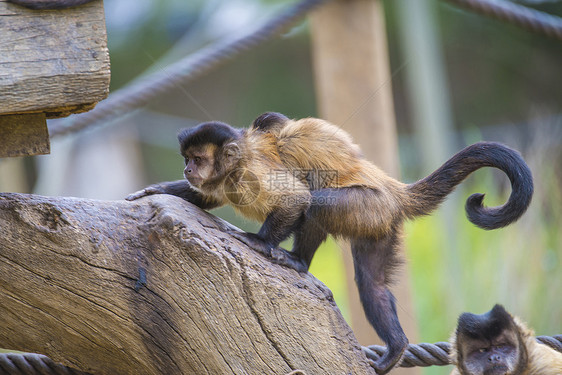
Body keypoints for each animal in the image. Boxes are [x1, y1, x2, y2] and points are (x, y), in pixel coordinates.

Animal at [124, 113, 532, 374]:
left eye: (196, 158)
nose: (187, 169)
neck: (237, 164)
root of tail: (392, 189)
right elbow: (205, 197)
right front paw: (156, 191)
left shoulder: (251, 173)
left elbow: (296, 199)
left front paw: (258, 242)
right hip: (379, 221)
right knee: (372, 285)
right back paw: (397, 346)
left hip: (367, 204)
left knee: (318, 201)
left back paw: (297, 262)